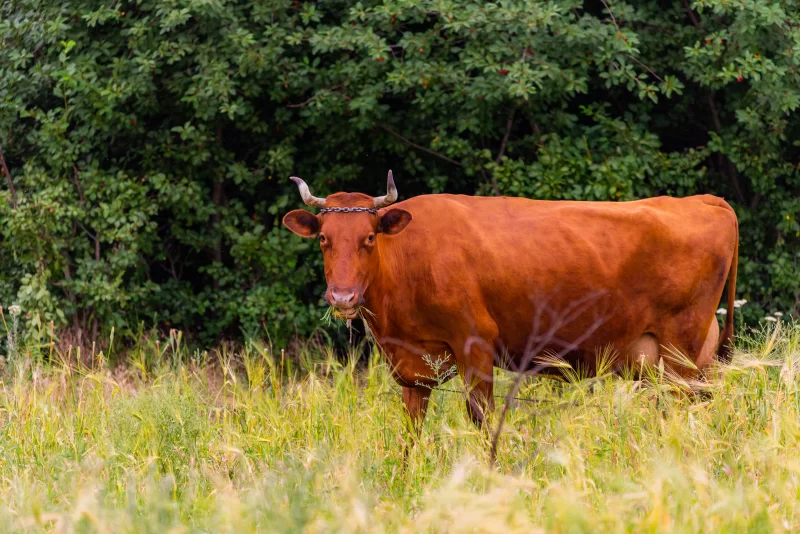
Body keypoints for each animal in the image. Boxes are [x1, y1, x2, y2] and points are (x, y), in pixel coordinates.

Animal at [282, 171, 739, 430]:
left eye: (369, 238)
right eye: (324, 239)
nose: (342, 296)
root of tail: (704, 200)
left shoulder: (476, 343)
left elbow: (482, 417)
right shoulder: (412, 366)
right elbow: (412, 427)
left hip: (681, 351)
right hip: (687, 359)